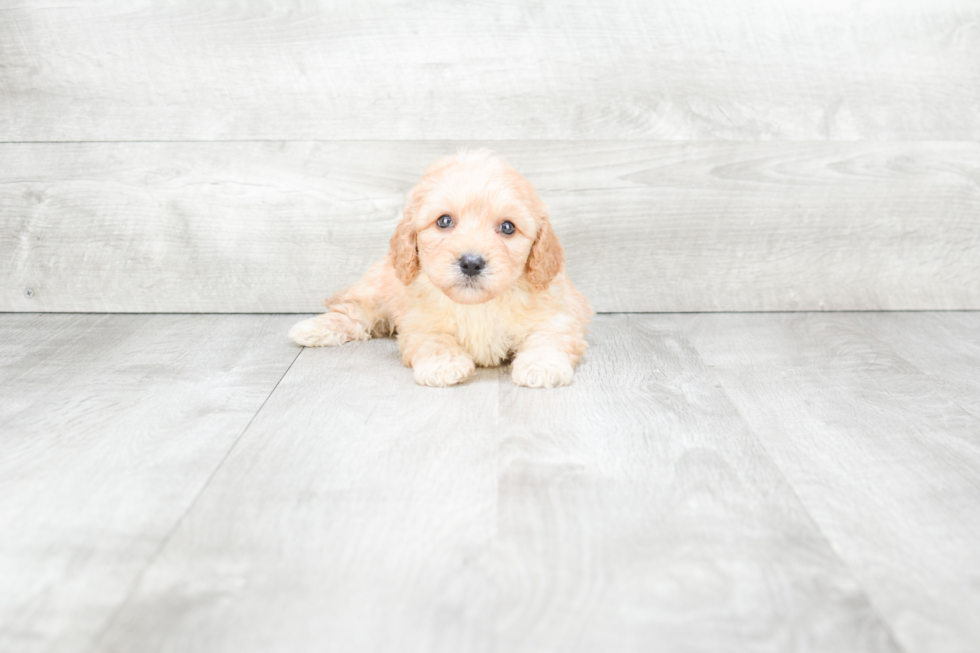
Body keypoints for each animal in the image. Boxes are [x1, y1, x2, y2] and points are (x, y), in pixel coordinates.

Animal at [288, 150, 592, 384]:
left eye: (508, 227)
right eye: (444, 221)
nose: (471, 263)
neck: (477, 304)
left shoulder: (556, 315)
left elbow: (548, 338)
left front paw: (542, 367)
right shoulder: (419, 320)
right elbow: (434, 340)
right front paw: (443, 365)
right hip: (378, 287)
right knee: (355, 312)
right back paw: (315, 328)